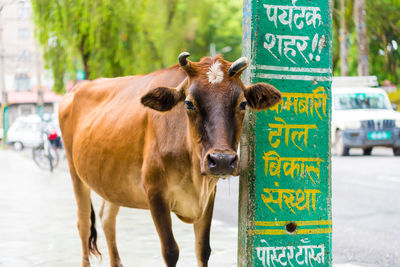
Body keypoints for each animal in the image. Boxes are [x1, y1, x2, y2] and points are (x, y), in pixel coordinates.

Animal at [59, 52, 282, 267]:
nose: (222, 160)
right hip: (75, 172)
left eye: (243, 103)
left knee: (107, 219)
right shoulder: (155, 193)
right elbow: (171, 251)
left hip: (112, 183)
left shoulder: (209, 194)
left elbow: (203, 249)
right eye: (189, 103)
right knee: (84, 224)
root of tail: (76, 88)